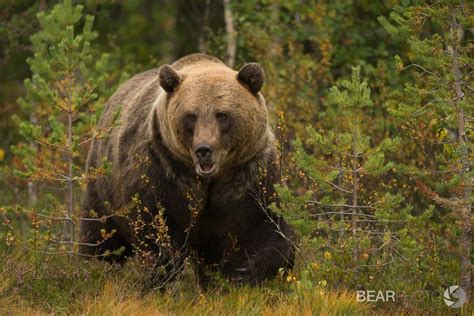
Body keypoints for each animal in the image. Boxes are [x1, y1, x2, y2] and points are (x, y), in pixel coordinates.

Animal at [80, 53, 296, 286]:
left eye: (222, 115)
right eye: (191, 115)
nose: (204, 149)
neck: (211, 179)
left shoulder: (249, 176)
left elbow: (268, 223)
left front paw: (245, 271)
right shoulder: (163, 170)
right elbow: (156, 226)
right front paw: (164, 273)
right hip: (103, 186)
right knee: (100, 234)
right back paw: (92, 266)